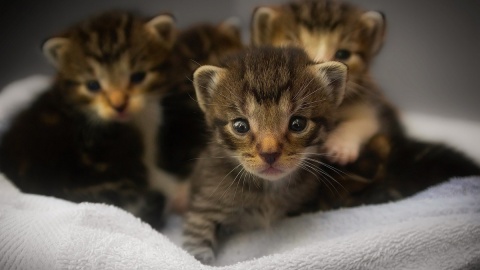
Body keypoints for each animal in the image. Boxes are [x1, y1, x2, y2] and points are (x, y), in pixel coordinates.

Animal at [0, 11, 177, 229]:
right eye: (93, 85)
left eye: (138, 77)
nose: (119, 105)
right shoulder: (140, 153)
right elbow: (157, 176)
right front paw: (180, 191)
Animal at [182, 46, 346, 264]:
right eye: (240, 126)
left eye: (298, 124)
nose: (269, 154)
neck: (268, 191)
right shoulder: (205, 207)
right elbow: (196, 244)